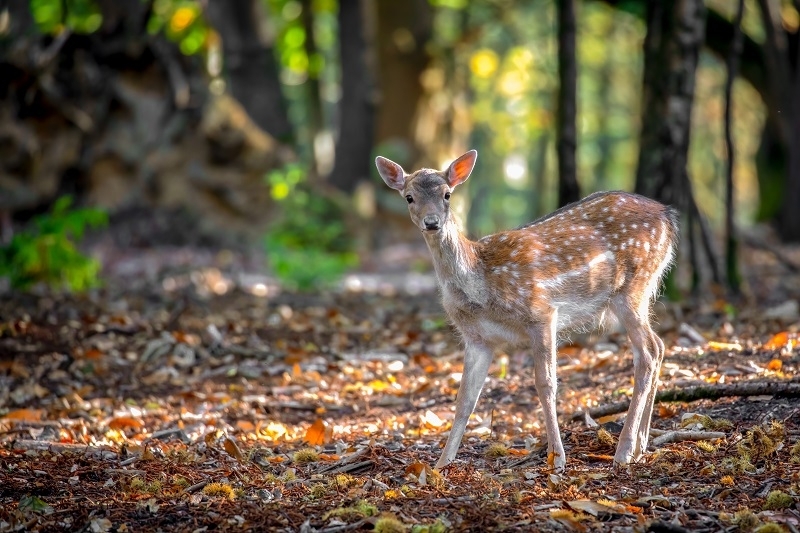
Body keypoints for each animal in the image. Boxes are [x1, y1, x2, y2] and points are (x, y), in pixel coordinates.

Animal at [376, 149, 676, 470]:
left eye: (447, 194)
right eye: (409, 197)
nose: (432, 222)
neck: (480, 286)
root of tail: (668, 216)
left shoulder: (541, 312)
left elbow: (546, 385)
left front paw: (557, 459)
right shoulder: (477, 338)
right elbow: (465, 399)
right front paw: (442, 463)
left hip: (632, 287)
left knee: (647, 353)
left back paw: (624, 451)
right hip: (639, 292)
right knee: (658, 346)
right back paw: (641, 445)